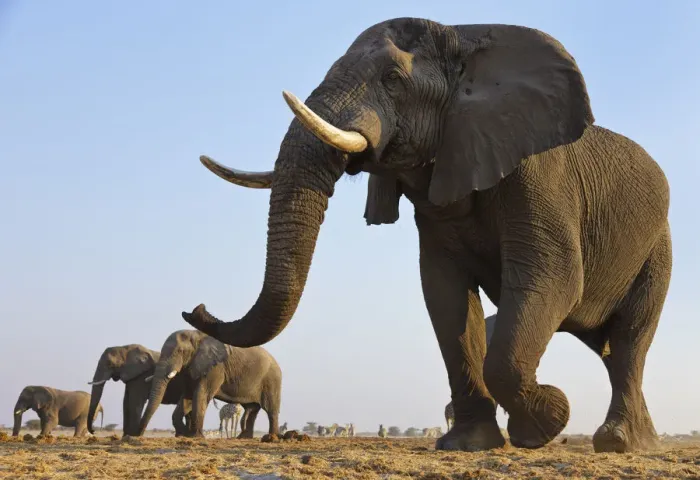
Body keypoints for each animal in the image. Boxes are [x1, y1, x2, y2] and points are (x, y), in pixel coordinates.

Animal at [139, 330, 282, 438]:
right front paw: (185, 434)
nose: (137, 435)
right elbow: (187, 397)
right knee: (251, 408)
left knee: (271, 409)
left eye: (180, 351)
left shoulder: (216, 368)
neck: (196, 334)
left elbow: (201, 394)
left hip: (272, 380)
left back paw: (271, 438)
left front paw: (195, 436)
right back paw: (244, 438)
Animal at [181, 17, 671, 454]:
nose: (196, 308)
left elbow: (553, 278)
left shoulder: (539, 175)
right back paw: (639, 440)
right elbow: (445, 295)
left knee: (629, 341)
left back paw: (620, 444)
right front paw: (467, 445)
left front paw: (546, 421)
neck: (462, 39)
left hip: (659, 247)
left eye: (393, 79)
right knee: (613, 351)